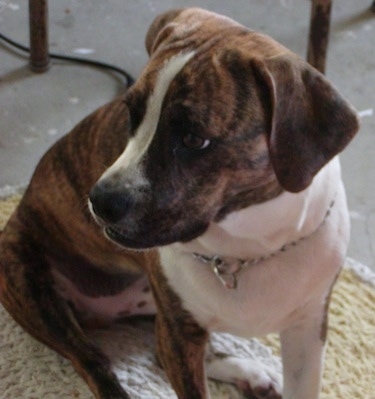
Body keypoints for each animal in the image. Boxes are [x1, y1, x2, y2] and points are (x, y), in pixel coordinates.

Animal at [0, 7, 358, 399]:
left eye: (193, 139)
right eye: (131, 115)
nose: (99, 200)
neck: (249, 247)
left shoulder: (307, 331)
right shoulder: (180, 332)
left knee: (157, 353)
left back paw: (251, 373)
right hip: (30, 283)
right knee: (93, 361)